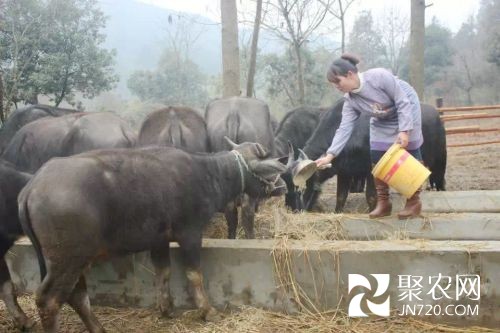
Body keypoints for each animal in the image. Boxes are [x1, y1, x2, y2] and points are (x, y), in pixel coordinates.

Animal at [19, 139, 288, 330]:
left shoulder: (159, 240)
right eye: (269, 169)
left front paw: (166, 308)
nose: (283, 186)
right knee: (49, 300)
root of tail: (32, 187)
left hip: (74, 260)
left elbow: (163, 272)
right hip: (67, 260)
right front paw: (207, 310)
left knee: (77, 296)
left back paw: (98, 328)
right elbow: (194, 274)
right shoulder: (190, 233)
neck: (207, 173)